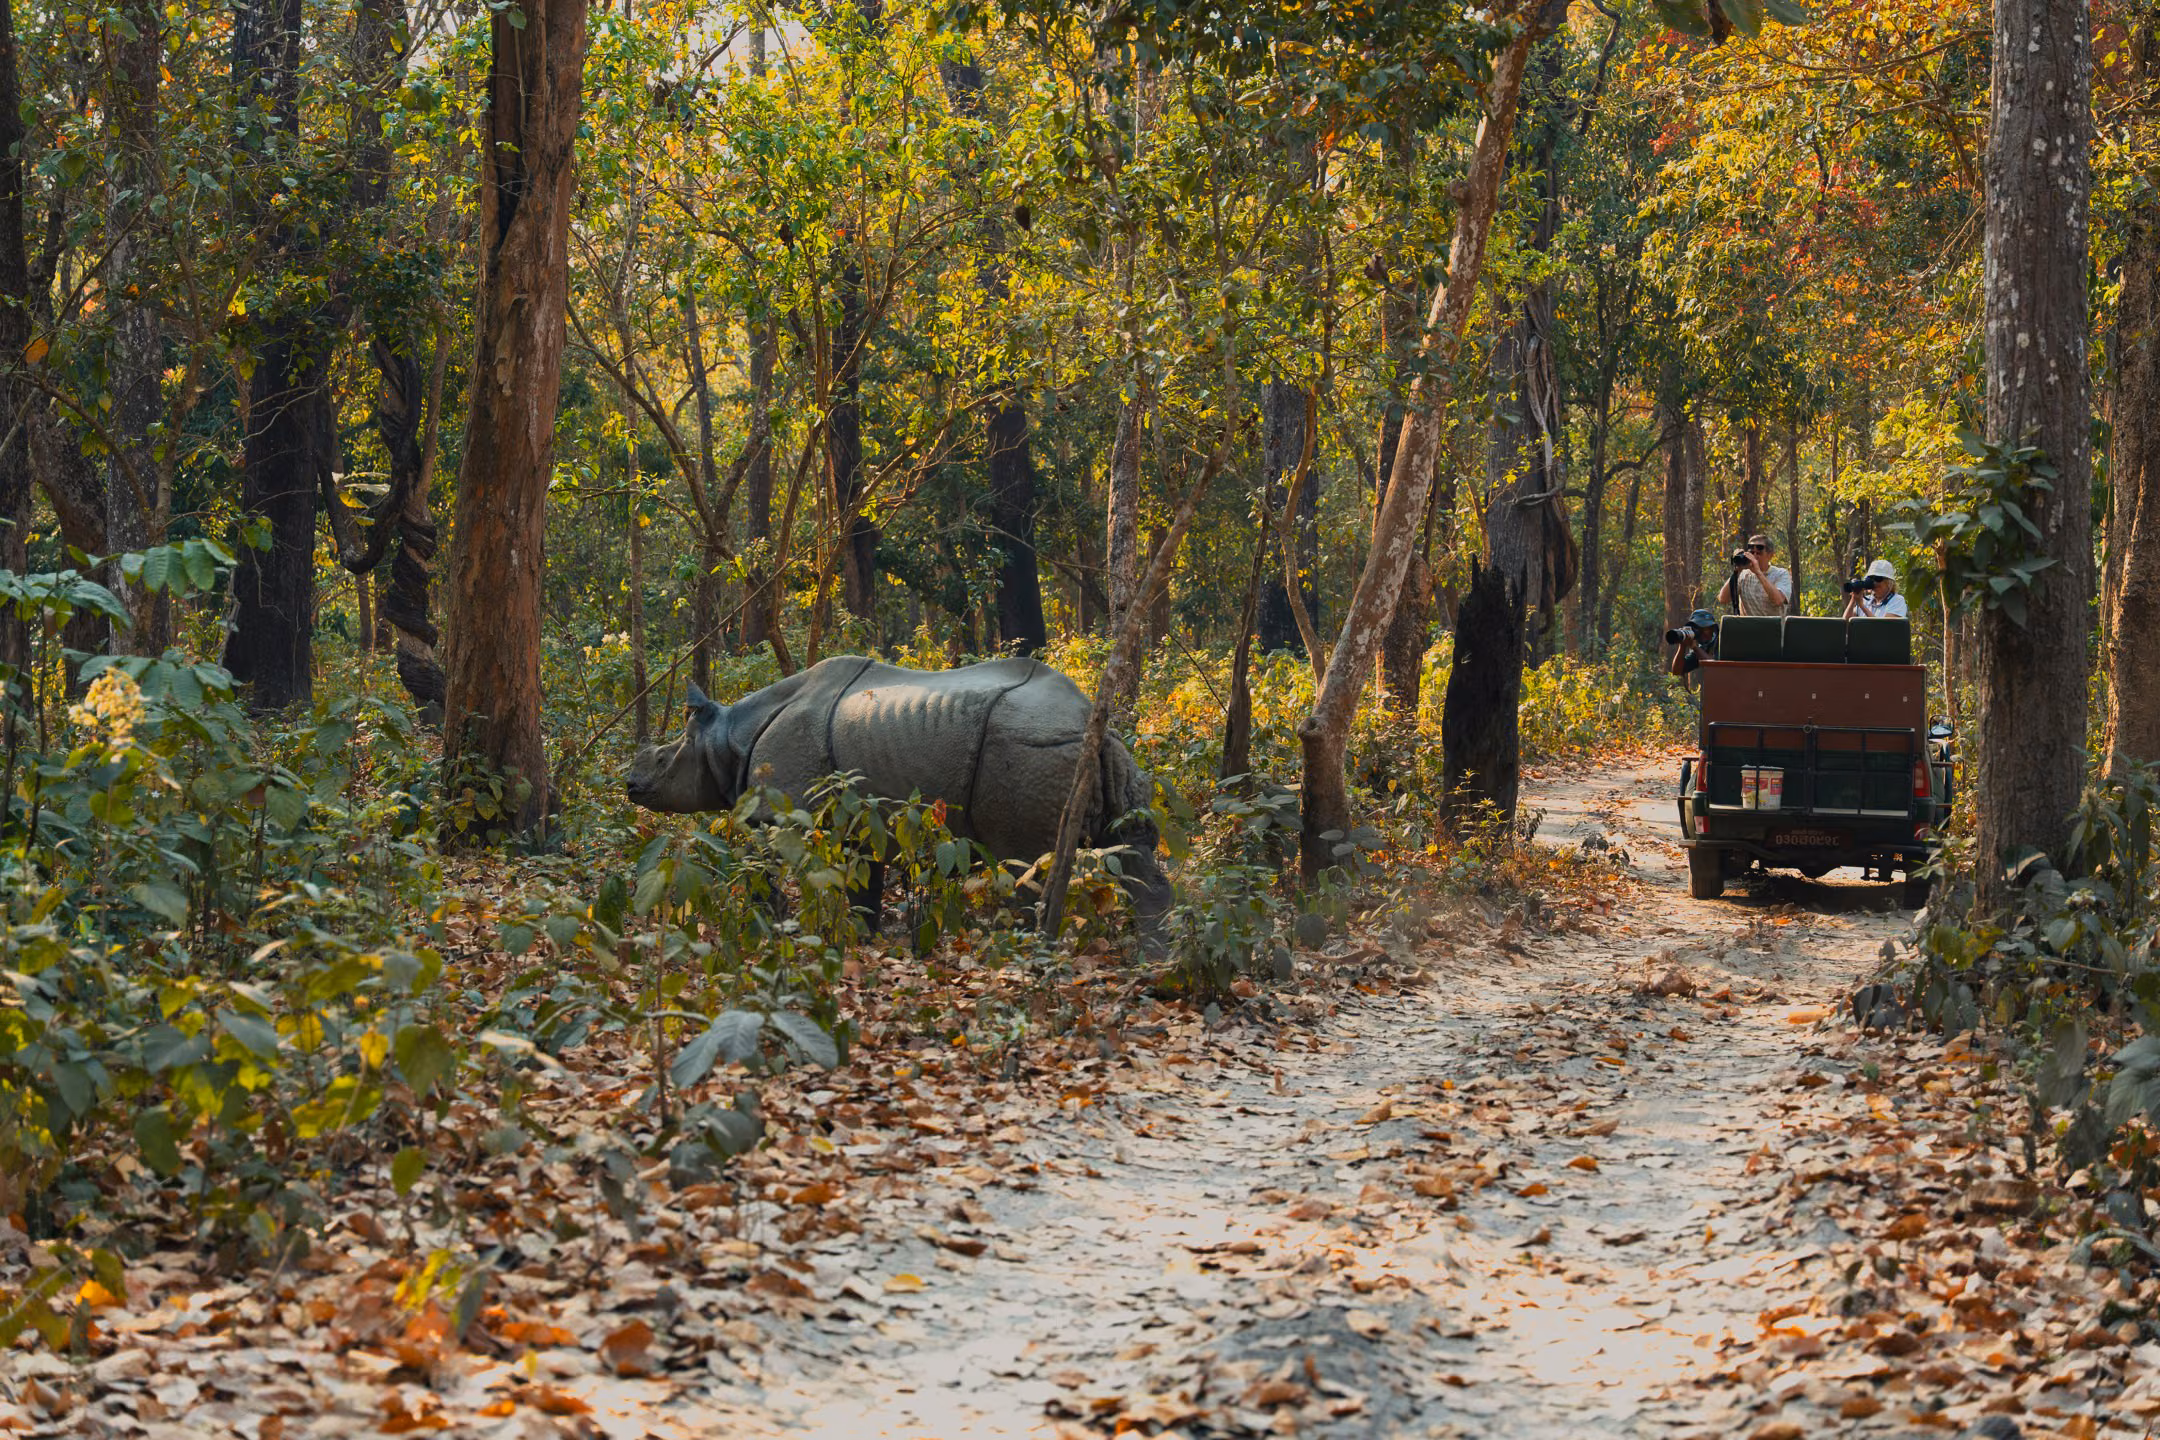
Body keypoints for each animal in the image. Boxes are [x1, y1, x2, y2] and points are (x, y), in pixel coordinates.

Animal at [626, 656, 1172, 926]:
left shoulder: (781, 815)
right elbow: (863, 885)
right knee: (1133, 853)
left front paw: (772, 928)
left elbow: (764, 871)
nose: (630, 784)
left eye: (662, 761)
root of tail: (1089, 722)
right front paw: (863, 938)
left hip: (1028, 747)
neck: (727, 741)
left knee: (1025, 864)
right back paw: (1157, 967)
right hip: (1101, 753)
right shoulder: (858, 820)